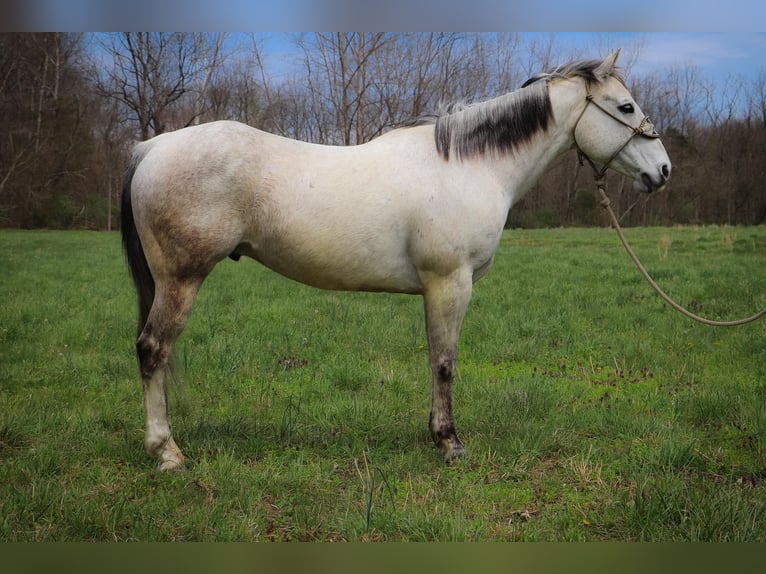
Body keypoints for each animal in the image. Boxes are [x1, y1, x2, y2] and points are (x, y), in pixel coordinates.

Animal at [121, 51, 672, 472]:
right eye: (625, 106)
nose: (663, 170)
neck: (469, 166)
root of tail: (153, 146)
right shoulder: (450, 284)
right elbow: (444, 363)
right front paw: (449, 443)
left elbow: (436, 361)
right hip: (181, 279)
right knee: (152, 350)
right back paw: (167, 453)